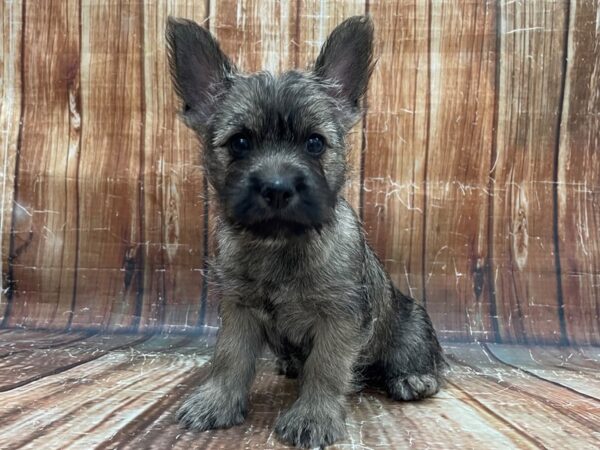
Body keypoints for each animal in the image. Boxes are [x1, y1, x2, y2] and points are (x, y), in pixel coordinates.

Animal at [166, 15, 442, 448]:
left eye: (315, 143)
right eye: (240, 142)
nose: (277, 188)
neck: (280, 246)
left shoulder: (339, 319)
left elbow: (325, 369)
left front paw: (314, 414)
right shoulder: (240, 311)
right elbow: (229, 358)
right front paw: (217, 401)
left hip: (410, 325)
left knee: (412, 356)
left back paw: (413, 378)